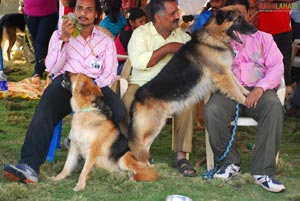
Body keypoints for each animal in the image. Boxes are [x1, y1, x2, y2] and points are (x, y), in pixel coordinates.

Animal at [127, 7, 256, 163]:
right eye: (238, 19)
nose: (255, 30)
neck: (213, 38)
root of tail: (137, 96)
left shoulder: (227, 72)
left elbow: (239, 85)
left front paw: (249, 94)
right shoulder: (223, 75)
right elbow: (235, 91)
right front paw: (246, 101)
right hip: (153, 126)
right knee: (138, 147)